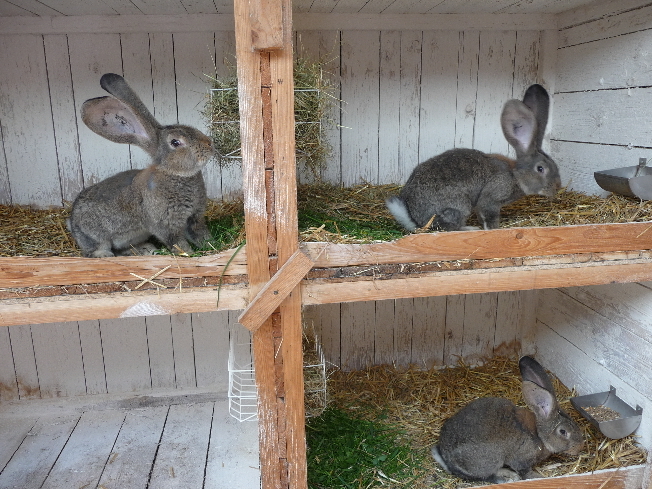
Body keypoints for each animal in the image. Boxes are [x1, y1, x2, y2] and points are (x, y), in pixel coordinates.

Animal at [68, 73, 214, 255]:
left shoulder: (194, 216)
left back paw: (146, 249)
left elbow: (199, 233)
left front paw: (211, 245)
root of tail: (72, 222)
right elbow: (177, 242)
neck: (173, 173)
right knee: (99, 252)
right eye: (175, 142)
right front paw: (189, 254)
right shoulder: (165, 224)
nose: (209, 144)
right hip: (96, 237)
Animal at [388, 84, 560, 233]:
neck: (516, 176)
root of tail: (414, 219)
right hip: (458, 207)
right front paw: (493, 230)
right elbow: (489, 215)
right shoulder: (492, 198)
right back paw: (469, 228)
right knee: (447, 227)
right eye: (540, 169)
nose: (556, 188)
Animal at [430, 354, 584, 484]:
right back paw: (506, 479)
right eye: (563, 432)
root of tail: (447, 458)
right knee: (485, 476)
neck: (539, 434)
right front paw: (537, 477)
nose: (579, 448)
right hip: (490, 459)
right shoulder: (521, 459)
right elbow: (524, 471)